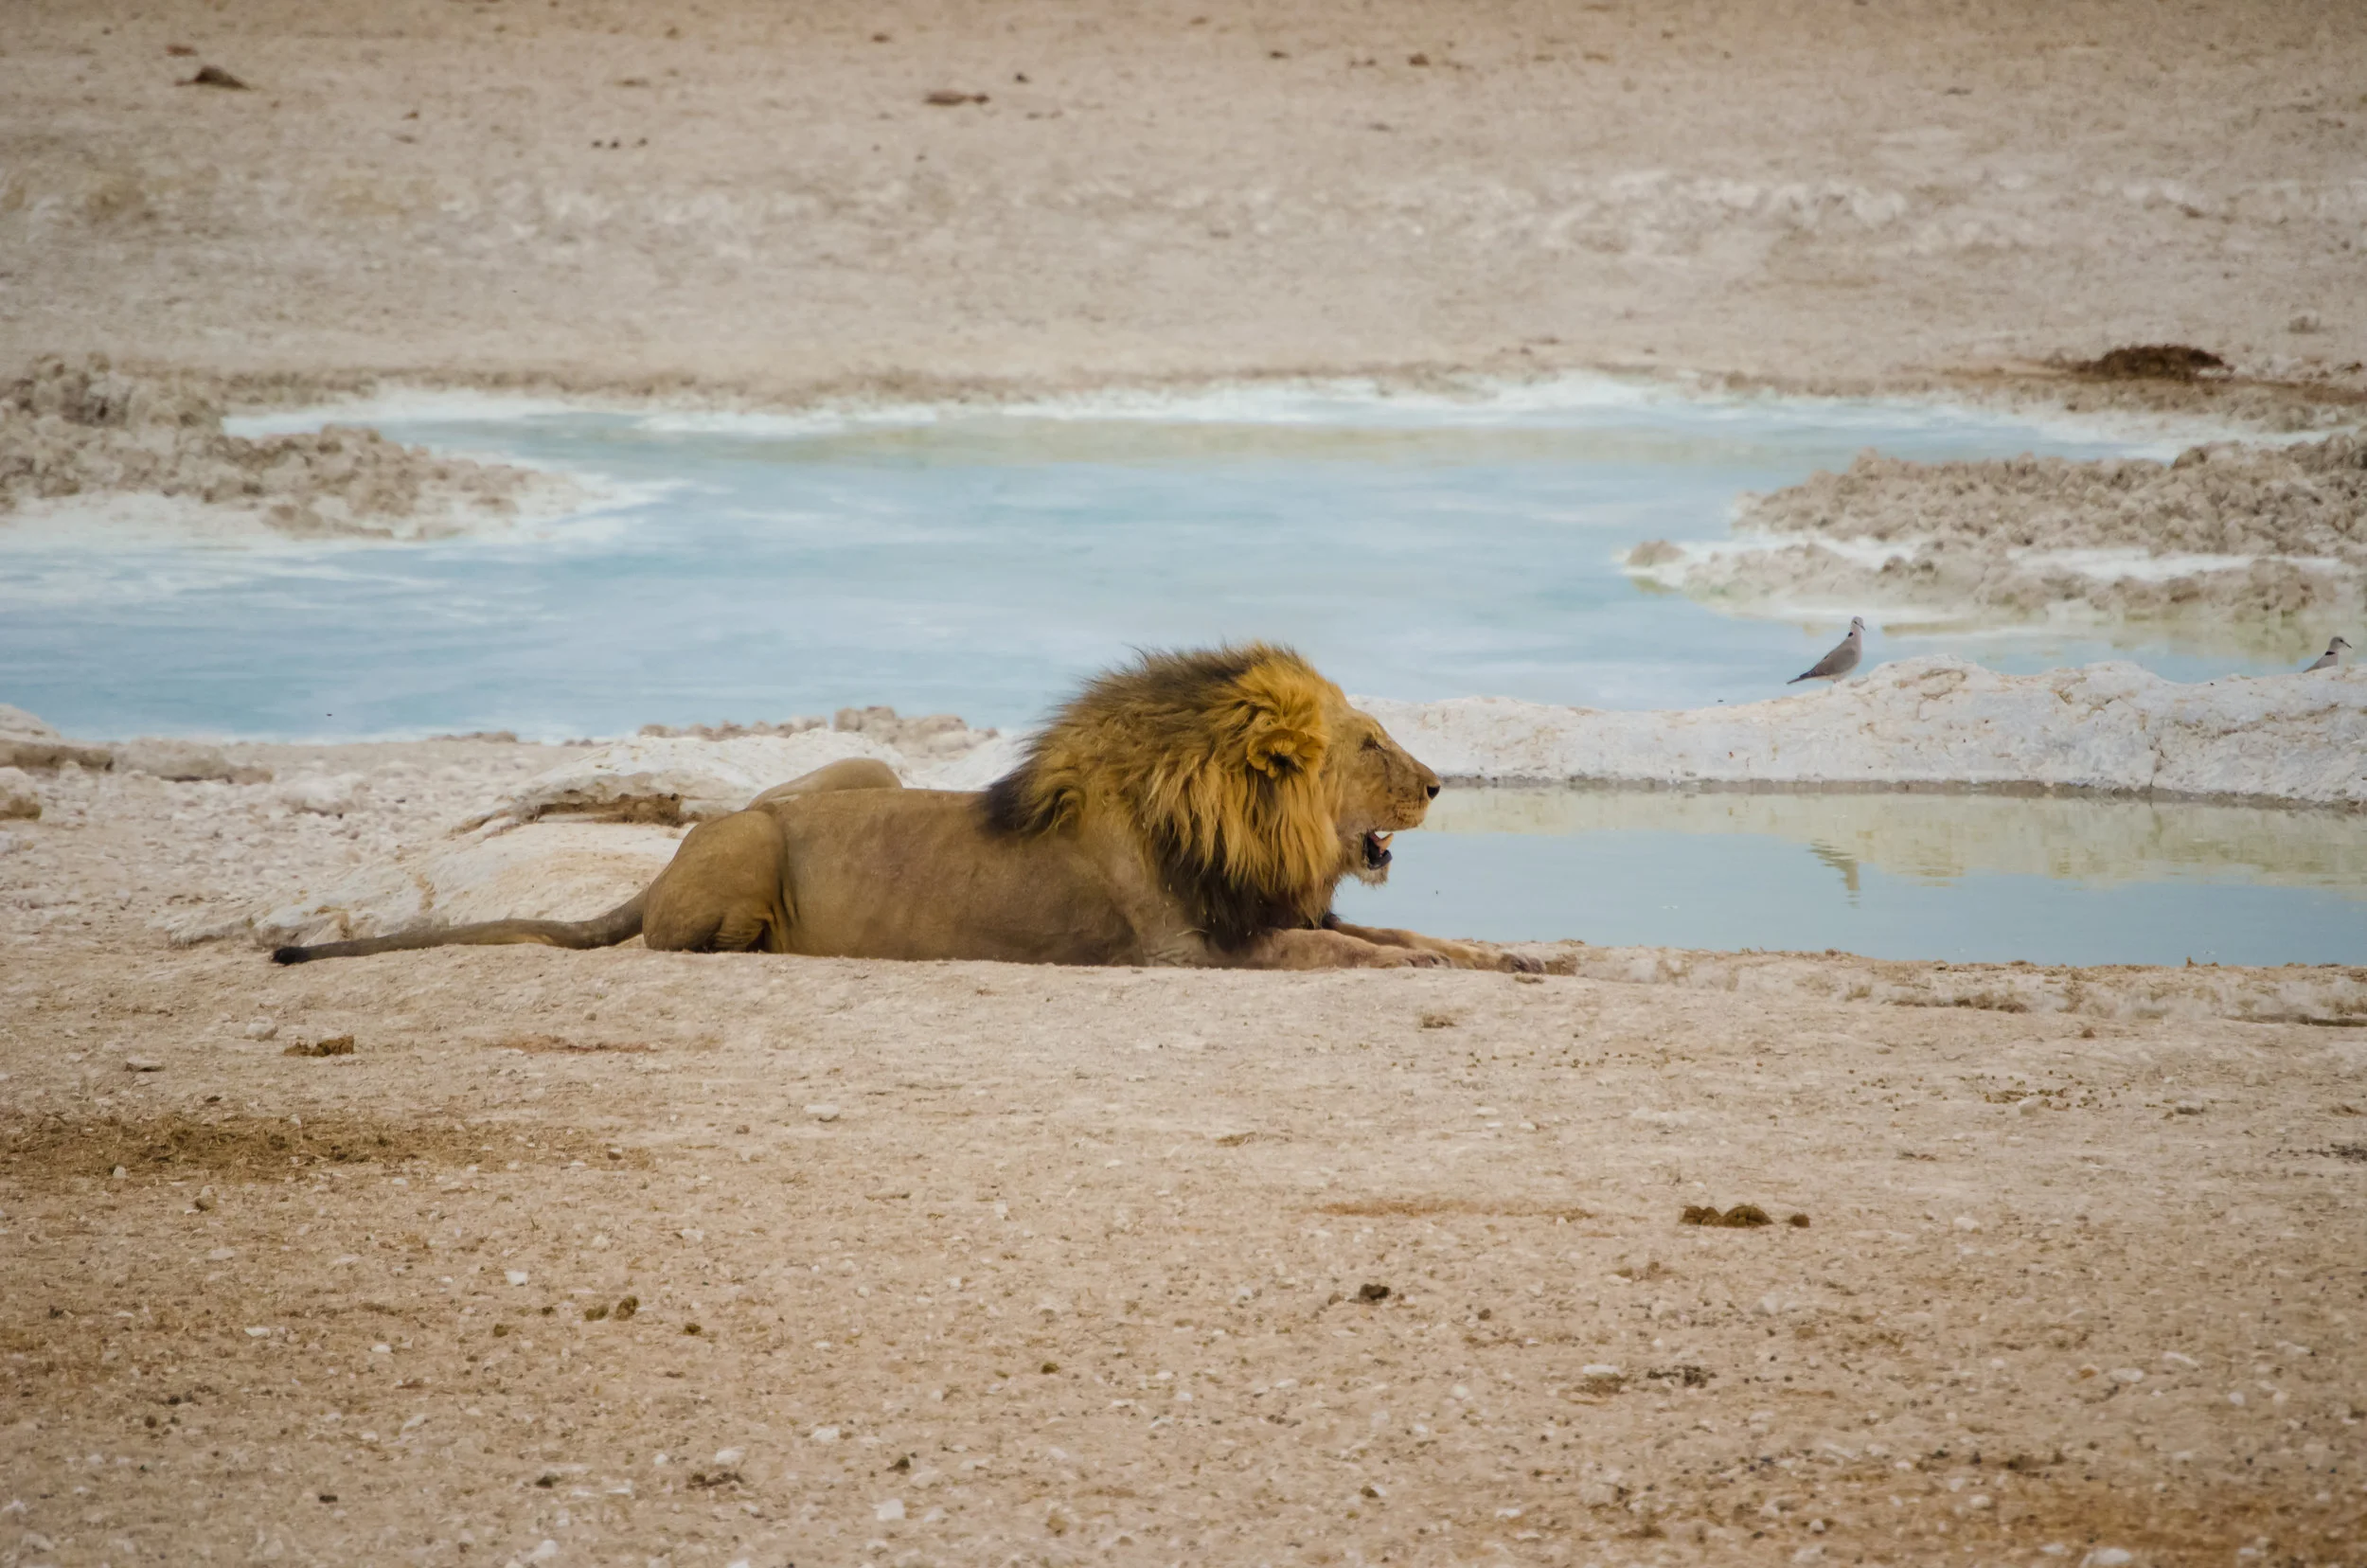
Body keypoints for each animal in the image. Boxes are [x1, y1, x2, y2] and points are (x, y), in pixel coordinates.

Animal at [272, 644, 1533, 972]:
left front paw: (1513, 960)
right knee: (687, 939)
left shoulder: (1286, 914)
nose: (1437, 784)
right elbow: (1355, 956)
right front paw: (1436, 966)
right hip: (748, 840)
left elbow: (1398, 932)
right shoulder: (1197, 952)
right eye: (1370, 744)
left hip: (863, 770)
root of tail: (665, 860)